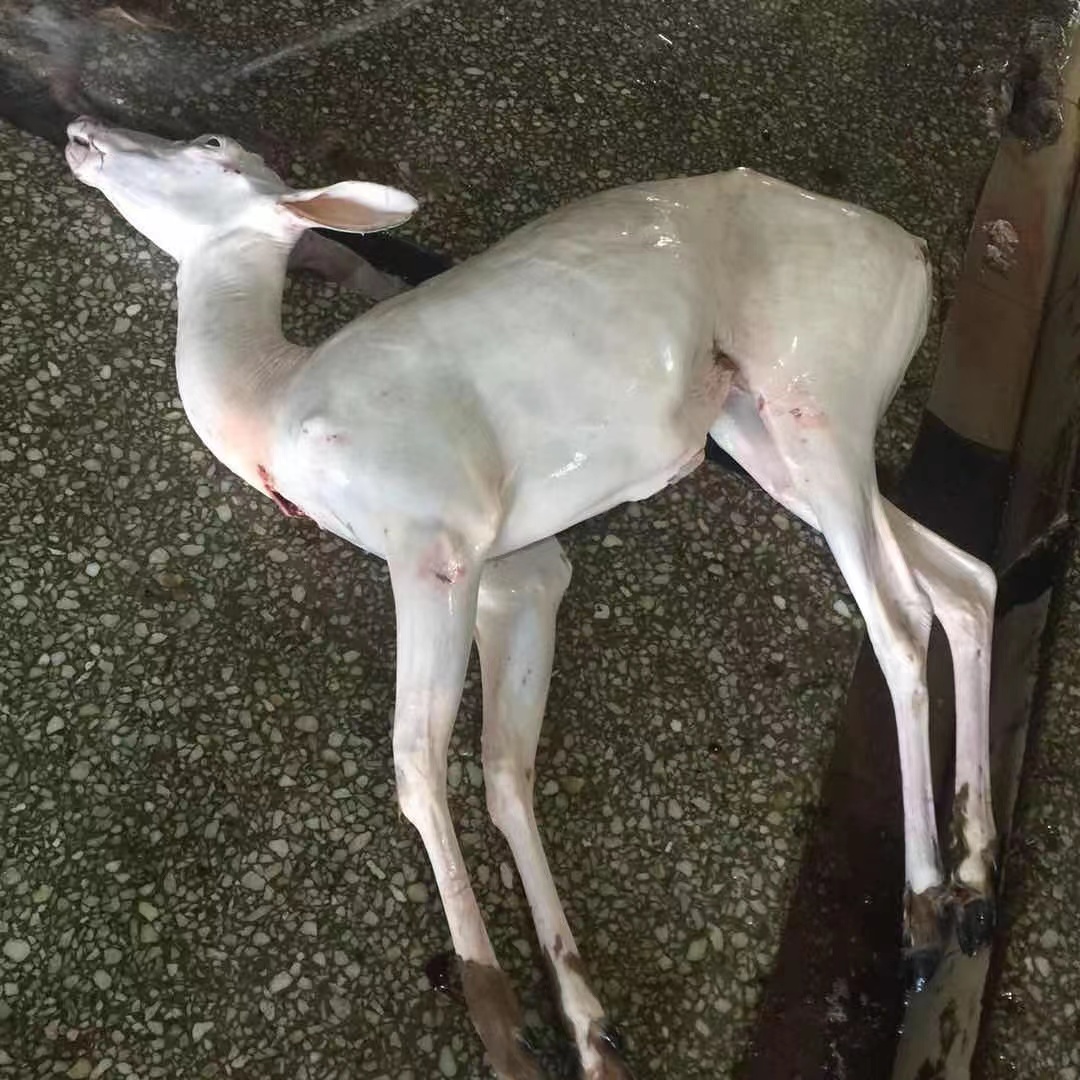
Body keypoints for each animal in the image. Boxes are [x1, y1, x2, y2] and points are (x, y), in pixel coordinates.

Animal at [65, 116, 999, 1080]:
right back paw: (975, 883)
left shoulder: (437, 537)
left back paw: (925, 911)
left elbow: (417, 763)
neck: (276, 412)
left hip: (817, 392)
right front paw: (590, 1030)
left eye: (209, 143)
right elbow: (507, 772)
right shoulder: (518, 570)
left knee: (898, 617)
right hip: (760, 430)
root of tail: (916, 259)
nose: (83, 131)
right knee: (965, 578)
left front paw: (499, 1021)